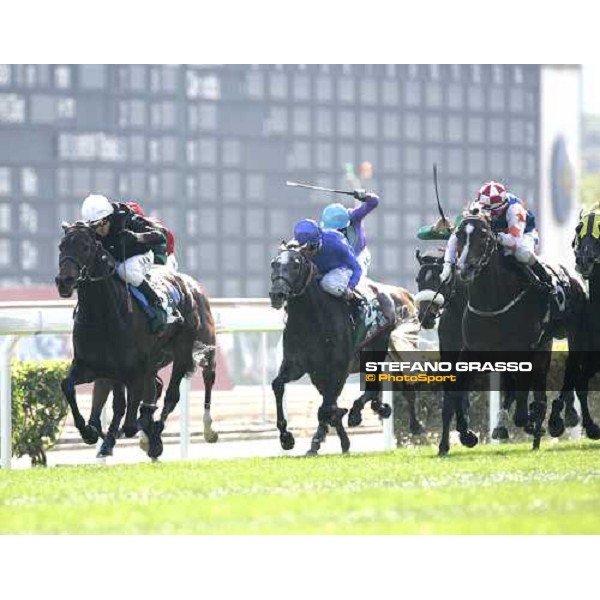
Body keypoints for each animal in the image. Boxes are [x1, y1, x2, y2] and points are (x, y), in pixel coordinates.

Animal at [272, 244, 408, 454]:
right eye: (274, 264)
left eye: (295, 265)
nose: (276, 294)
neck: (311, 319)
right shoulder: (298, 365)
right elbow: (278, 385)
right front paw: (286, 438)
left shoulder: (339, 368)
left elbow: (326, 408)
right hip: (320, 375)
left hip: (375, 351)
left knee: (371, 388)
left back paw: (363, 411)